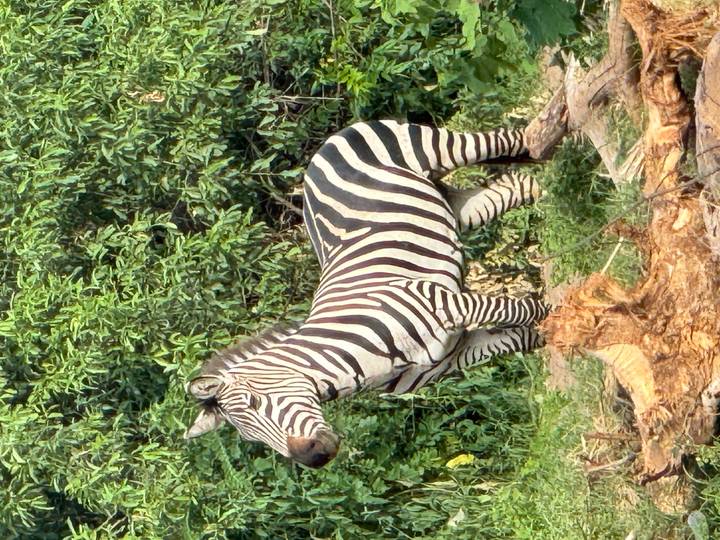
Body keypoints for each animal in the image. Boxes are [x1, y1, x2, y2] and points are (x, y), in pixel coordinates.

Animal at [185, 120, 548, 468]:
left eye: (256, 401)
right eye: (251, 438)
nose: (316, 457)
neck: (349, 361)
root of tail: (317, 157)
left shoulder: (440, 301)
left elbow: (524, 312)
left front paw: (559, 320)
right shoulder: (454, 356)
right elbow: (520, 338)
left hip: (434, 148)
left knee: (507, 139)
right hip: (453, 206)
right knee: (515, 184)